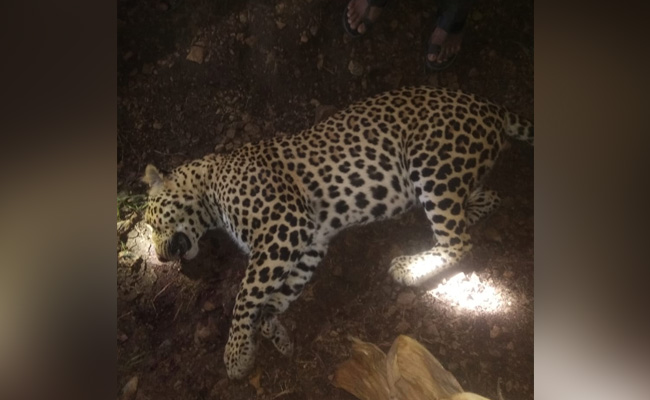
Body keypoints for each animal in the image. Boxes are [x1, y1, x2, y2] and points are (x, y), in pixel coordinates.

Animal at [142, 86, 533, 379]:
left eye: (150, 222)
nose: (159, 256)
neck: (209, 185)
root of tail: (491, 106)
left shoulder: (283, 225)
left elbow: (245, 294)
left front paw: (237, 353)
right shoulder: (308, 241)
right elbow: (277, 294)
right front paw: (275, 333)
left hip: (433, 165)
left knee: (458, 240)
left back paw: (408, 267)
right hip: (459, 175)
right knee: (488, 199)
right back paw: (471, 214)